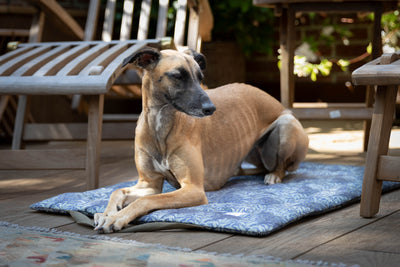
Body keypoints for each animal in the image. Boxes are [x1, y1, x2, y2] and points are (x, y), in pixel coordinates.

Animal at [94, 48, 310, 234]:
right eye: (177, 76)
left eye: (200, 78)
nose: (210, 109)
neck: (160, 124)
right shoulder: (148, 184)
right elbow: (117, 191)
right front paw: (106, 214)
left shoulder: (193, 189)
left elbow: (146, 201)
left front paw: (117, 218)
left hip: (287, 125)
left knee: (281, 166)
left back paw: (274, 176)